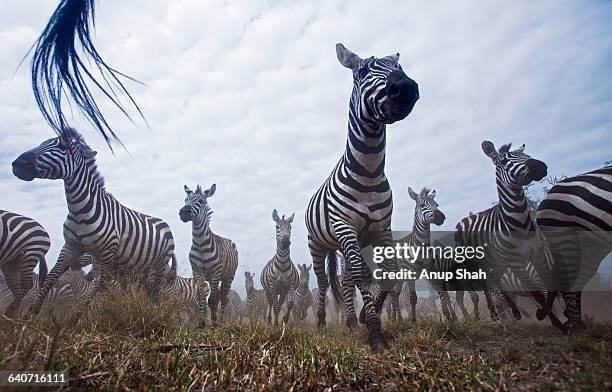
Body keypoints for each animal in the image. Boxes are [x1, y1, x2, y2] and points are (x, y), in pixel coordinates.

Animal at [11, 127, 176, 316]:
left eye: (63, 146)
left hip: (159, 265)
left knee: (154, 291)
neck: (80, 210)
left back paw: (154, 312)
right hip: (135, 266)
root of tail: (164, 223)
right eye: (42, 142)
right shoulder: (70, 246)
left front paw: (78, 316)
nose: (17, 164)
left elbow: (99, 286)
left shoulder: (106, 253)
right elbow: (52, 276)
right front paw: (31, 314)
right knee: (140, 288)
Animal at [178, 184, 238, 324]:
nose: (183, 212)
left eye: (201, 201)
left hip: (228, 276)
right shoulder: (197, 272)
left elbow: (212, 300)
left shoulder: (216, 272)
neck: (200, 245)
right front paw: (201, 324)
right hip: (212, 278)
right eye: (185, 200)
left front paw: (213, 324)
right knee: (218, 296)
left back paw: (220, 322)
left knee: (223, 299)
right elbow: (201, 300)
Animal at [304, 44, 418, 350]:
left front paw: (367, 318)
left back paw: (352, 322)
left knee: (344, 281)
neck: (369, 171)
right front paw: (375, 332)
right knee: (324, 282)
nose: (405, 88)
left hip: (345, 245)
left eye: (399, 67)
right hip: (318, 245)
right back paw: (322, 322)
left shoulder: (382, 228)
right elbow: (362, 274)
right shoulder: (345, 227)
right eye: (363, 71)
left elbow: (387, 271)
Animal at [454, 141, 564, 330]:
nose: (541, 166)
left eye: (527, 155)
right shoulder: (517, 263)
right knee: (487, 286)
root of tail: (465, 219)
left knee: (496, 282)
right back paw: (496, 314)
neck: (519, 221)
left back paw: (515, 312)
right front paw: (550, 319)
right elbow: (537, 293)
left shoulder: (538, 254)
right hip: (479, 263)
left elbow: (548, 287)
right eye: (504, 161)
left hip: (497, 262)